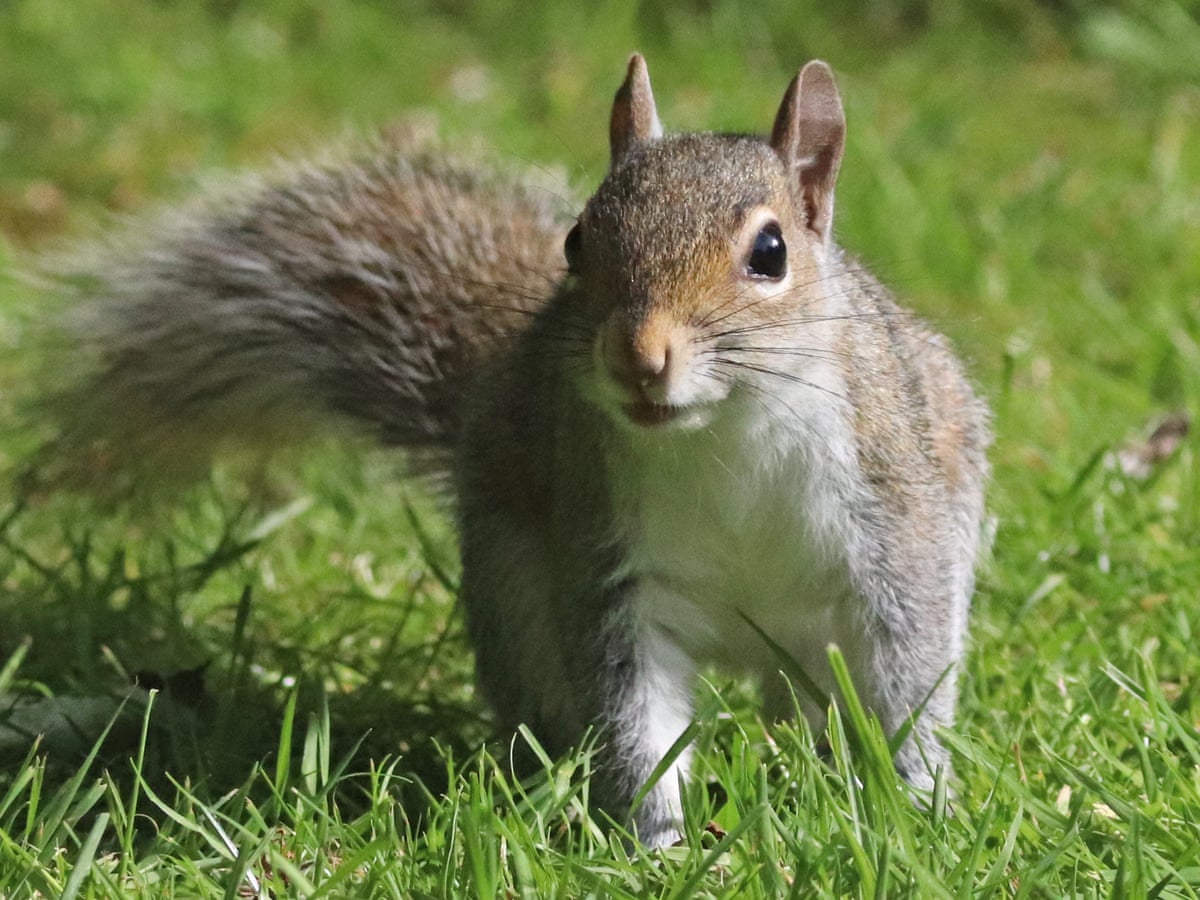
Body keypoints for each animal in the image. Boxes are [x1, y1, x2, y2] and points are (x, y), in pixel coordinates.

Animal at [38, 55, 990, 846]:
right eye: (576, 241)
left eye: (770, 252)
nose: (638, 358)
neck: (724, 430)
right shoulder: (611, 567)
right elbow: (636, 716)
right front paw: (660, 843)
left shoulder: (896, 530)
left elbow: (909, 681)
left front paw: (916, 805)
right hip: (517, 597)